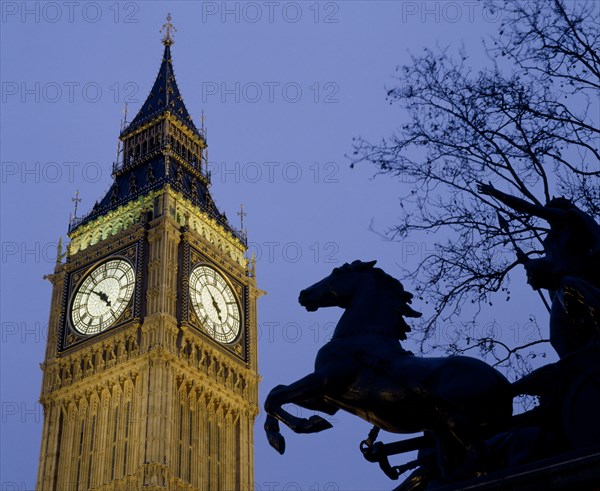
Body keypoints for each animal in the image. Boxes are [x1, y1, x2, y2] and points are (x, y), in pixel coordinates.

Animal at [264, 262, 512, 480]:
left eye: (336, 272)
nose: (303, 294)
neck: (361, 338)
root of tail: (505, 384)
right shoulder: (328, 400)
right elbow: (276, 392)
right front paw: (297, 428)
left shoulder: (323, 381)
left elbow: (274, 397)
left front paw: (301, 428)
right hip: (445, 429)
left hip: (457, 420)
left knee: (480, 457)